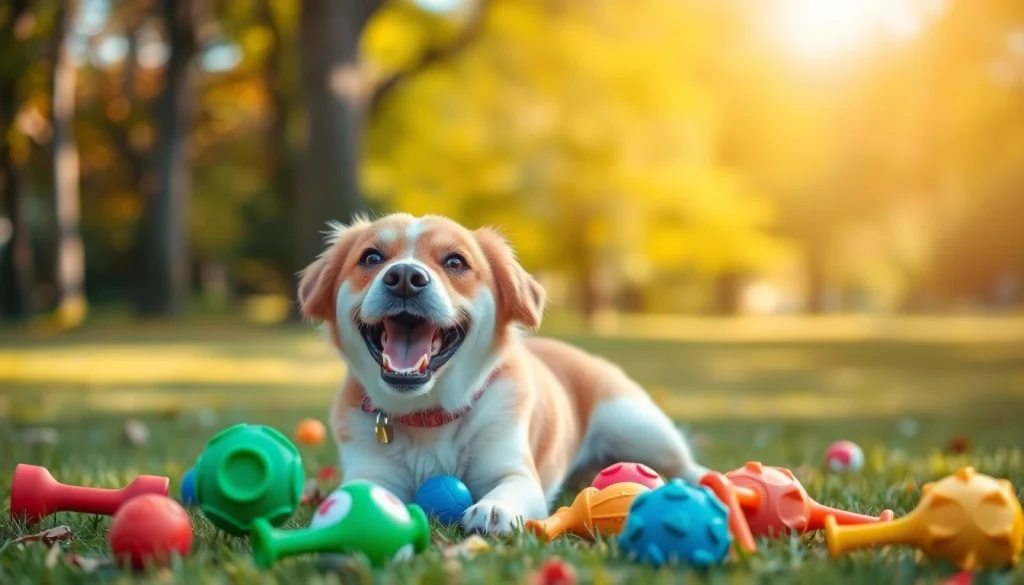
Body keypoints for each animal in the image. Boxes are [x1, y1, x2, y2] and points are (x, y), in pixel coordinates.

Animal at [299, 214, 704, 536]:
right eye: (371, 257)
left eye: (455, 261)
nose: (404, 276)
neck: (428, 416)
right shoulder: (369, 473)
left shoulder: (516, 471)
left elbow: (509, 489)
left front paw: (494, 509)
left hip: (639, 428)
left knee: (687, 466)